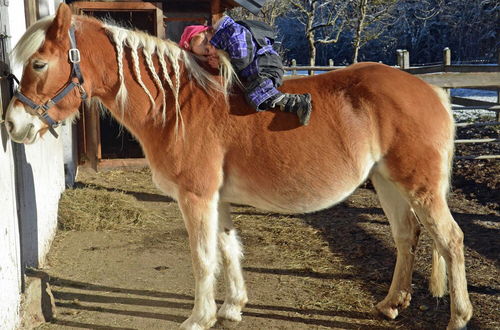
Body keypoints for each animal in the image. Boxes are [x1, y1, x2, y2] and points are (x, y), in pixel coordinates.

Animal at [4, 3, 472, 328]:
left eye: (39, 63)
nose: (13, 124)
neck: (175, 106)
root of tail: (431, 91)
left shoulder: (196, 197)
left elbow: (202, 257)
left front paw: (199, 316)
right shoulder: (218, 198)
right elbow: (229, 249)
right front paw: (232, 308)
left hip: (419, 186)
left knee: (450, 240)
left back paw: (459, 316)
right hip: (387, 181)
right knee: (407, 236)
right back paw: (392, 304)